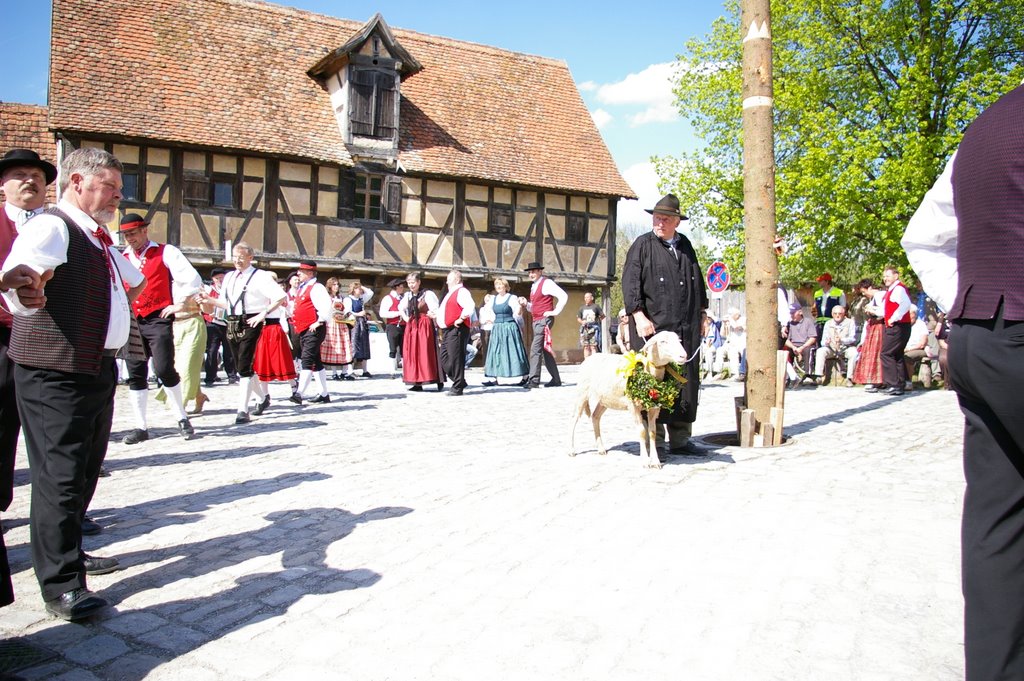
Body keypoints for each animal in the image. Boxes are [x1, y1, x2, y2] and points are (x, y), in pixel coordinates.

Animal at [569, 329, 688, 466]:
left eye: (678, 340)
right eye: (663, 341)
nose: (683, 356)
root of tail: (589, 358)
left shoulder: (654, 407)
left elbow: (652, 433)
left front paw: (656, 461)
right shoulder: (633, 406)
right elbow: (642, 431)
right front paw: (645, 461)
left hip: (606, 399)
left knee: (595, 417)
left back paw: (601, 448)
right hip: (581, 393)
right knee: (574, 419)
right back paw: (571, 450)